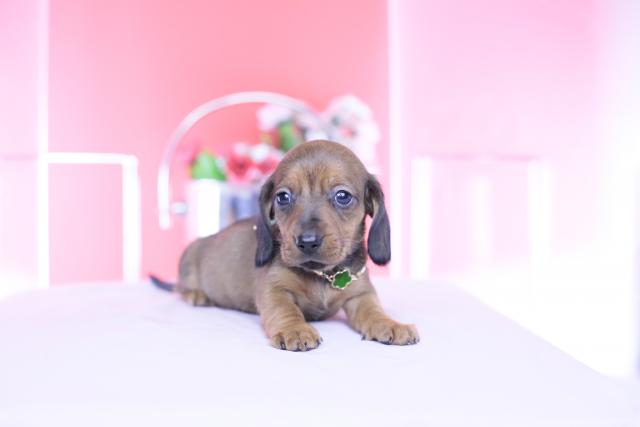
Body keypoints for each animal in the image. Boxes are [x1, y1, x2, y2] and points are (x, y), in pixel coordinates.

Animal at [152, 140, 419, 351]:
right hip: (188, 257)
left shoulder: (360, 295)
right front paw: (296, 330)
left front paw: (389, 323)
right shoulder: (273, 289)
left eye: (342, 196)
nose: (307, 242)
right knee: (180, 287)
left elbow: (372, 310)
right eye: (283, 197)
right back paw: (196, 294)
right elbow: (285, 309)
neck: (322, 274)